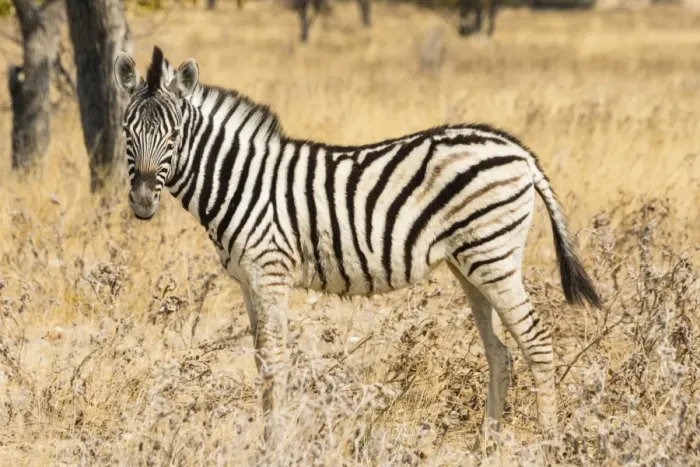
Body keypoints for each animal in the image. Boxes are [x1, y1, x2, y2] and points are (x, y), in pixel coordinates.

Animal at [114, 46, 601, 449]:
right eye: (127, 132)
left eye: (174, 135)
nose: (142, 201)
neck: (241, 181)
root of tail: (518, 151)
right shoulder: (247, 282)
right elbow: (260, 360)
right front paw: (269, 439)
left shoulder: (270, 273)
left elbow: (274, 361)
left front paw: (276, 445)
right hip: (470, 263)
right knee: (500, 351)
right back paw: (488, 446)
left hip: (494, 257)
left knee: (536, 342)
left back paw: (548, 445)